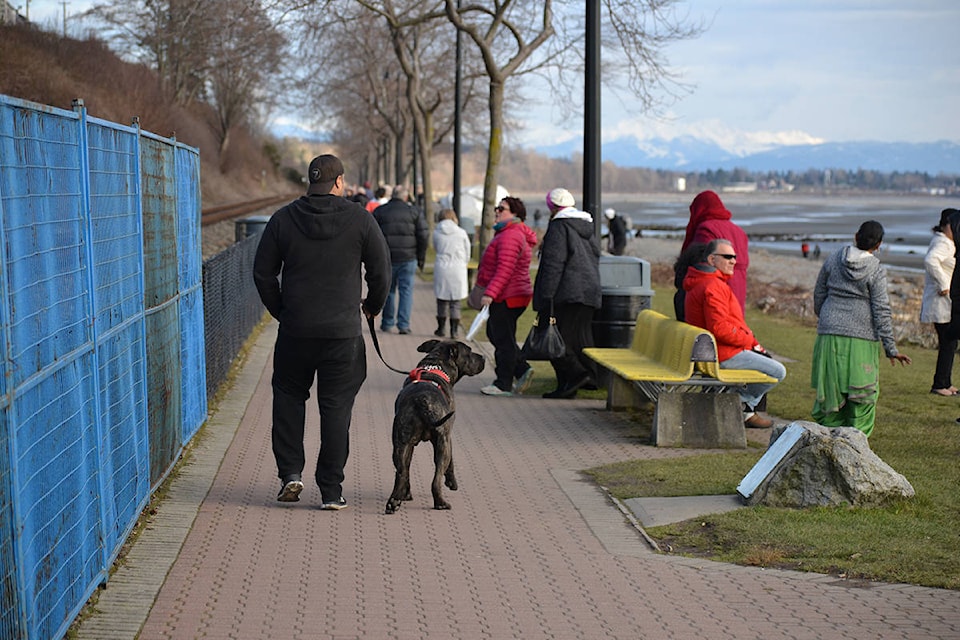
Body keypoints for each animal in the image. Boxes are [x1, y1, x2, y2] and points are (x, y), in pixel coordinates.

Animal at [386, 340, 484, 516]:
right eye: (470, 352)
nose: (484, 358)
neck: (436, 365)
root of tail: (422, 400)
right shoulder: (448, 436)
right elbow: (451, 461)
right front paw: (452, 482)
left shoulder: (409, 445)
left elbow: (406, 468)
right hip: (441, 445)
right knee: (436, 479)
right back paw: (441, 503)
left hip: (400, 443)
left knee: (401, 472)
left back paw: (395, 501)